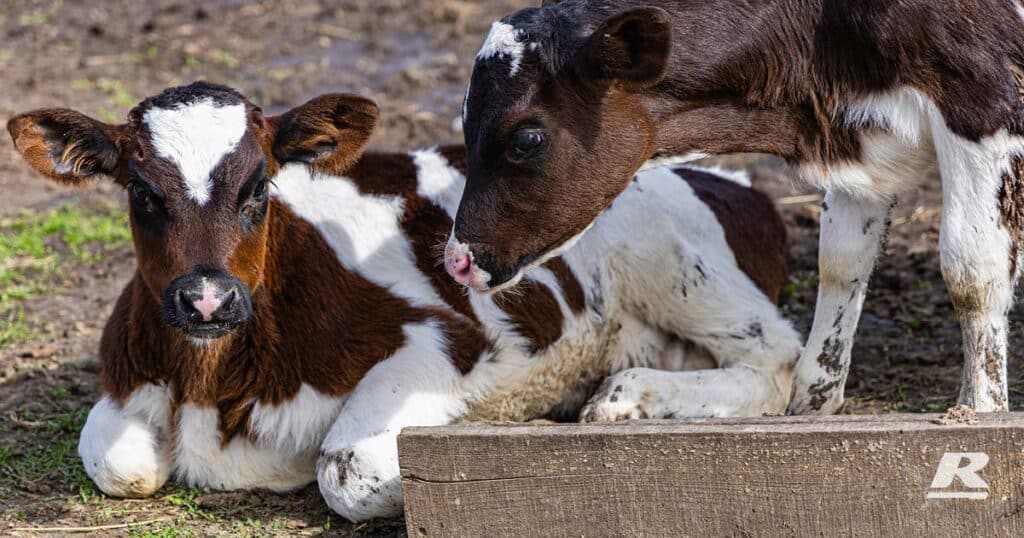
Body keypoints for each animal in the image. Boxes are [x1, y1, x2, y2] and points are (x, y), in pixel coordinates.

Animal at [7, 82, 799, 521]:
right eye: (142, 191)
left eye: (259, 186)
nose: (206, 302)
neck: (215, 385)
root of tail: (729, 178)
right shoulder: (128, 367)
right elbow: (118, 460)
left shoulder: (446, 339)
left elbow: (349, 470)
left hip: (667, 249)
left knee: (777, 360)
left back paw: (624, 395)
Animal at [447, 0, 1024, 415]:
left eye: (526, 138)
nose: (457, 259)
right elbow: (840, 263)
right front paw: (812, 408)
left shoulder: (984, 97)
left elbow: (971, 270)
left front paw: (980, 411)